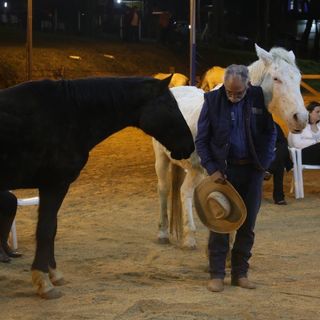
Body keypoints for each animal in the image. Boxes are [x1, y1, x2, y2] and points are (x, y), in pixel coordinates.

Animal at [0, 75, 194, 298]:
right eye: (170, 106)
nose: (190, 145)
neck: (70, 113)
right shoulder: (54, 185)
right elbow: (46, 230)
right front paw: (43, 281)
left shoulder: (53, 188)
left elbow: (52, 229)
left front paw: (53, 273)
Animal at [154, 43, 308, 248]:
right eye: (276, 78)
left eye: (298, 79)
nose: (301, 118)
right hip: (162, 158)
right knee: (164, 189)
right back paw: (163, 233)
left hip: (195, 169)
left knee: (184, 191)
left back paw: (190, 237)